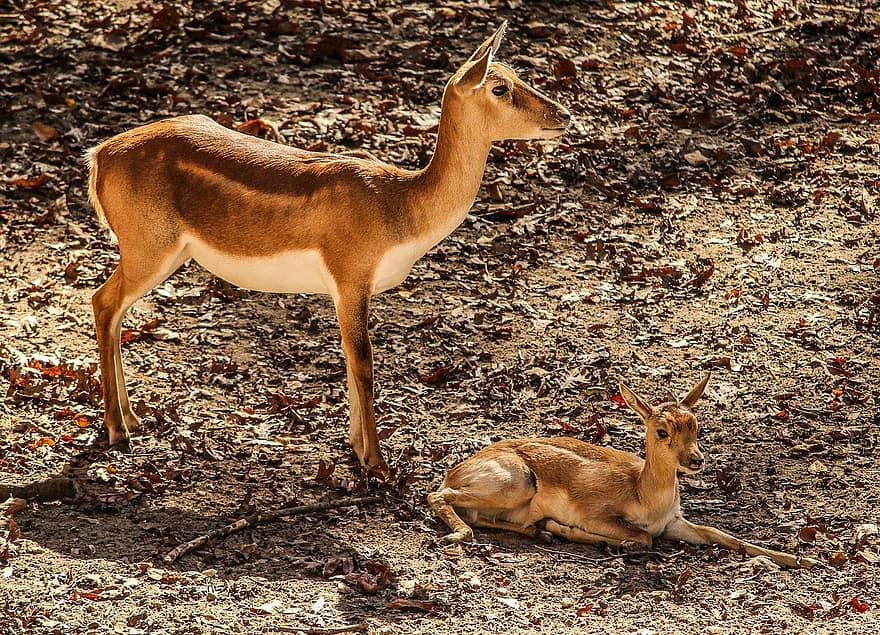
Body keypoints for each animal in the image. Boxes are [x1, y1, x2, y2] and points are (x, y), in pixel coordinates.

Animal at [86, 21, 572, 476]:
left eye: (518, 74)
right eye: (499, 86)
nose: (564, 114)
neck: (398, 205)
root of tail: (99, 155)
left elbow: (348, 357)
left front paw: (357, 449)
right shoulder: (351, 276)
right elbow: (364, 360)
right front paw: (376, 463)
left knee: (113, 309)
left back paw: (132, 417)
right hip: (150, 250)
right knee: (102, 301)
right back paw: (117, 428)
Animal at [430, 378, 820, 572]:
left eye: (694, 423)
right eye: (662, 430)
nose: (695, 460)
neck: (643, 494)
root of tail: (455, 469)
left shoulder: (673, 522)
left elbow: (724, 536)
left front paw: (805, 559)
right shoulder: (599, 515)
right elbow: (642, 538)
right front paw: (566, 528)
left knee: (479, 515)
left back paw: (540, 531)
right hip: (515, 483)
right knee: (438, 497)